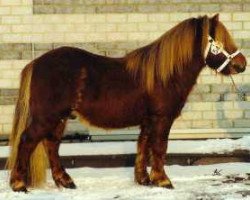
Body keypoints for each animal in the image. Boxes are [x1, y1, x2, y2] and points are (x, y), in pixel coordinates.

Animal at [7, 14, 246, 192]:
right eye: (219, 41)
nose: (242, 64)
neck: (164, 75)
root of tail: (35, 64)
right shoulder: (162, 119)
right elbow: (159, 147)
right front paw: (163, 180)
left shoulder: (148, 120)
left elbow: (143, 146)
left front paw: (144, 180)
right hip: (47, 117)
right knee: (27, 141)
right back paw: (19, 184)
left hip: (59, 118)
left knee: (51, 145)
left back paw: (65, 181)